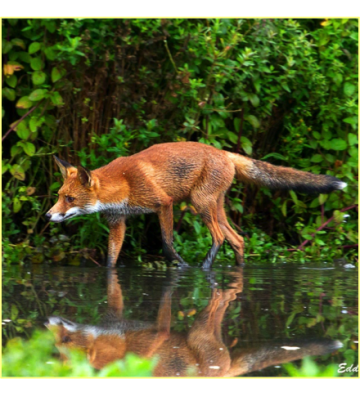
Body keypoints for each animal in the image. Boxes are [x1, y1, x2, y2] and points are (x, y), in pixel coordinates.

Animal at [46, 142, 348, 270]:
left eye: (70, 199)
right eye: (59, 195)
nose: (48, 215)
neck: (124, 184)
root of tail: (224, 152)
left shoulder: (163, 204)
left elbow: (167, 245)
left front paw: (182, 267)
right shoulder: (117, 222)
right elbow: (111, 260)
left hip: (198, 204)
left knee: (219, 238)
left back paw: (204, 268)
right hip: (214, 207)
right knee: (237, 240)